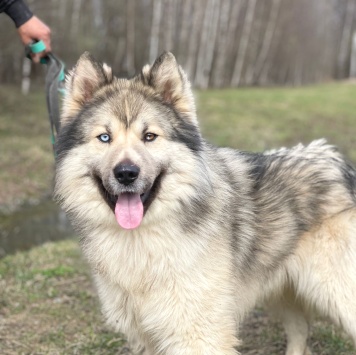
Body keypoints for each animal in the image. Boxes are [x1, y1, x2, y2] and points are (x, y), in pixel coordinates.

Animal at [55, 51, 356, 354]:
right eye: (104, 137)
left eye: (149, 136)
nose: (126, 173)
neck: (142, 242)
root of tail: (337, 160)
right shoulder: (146, 335)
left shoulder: (199, 336)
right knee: (299, 332)